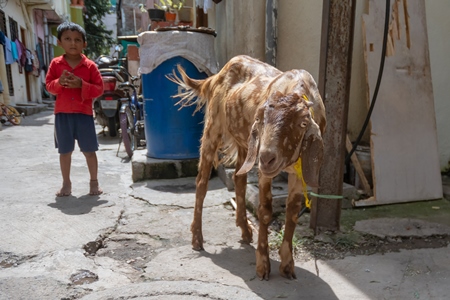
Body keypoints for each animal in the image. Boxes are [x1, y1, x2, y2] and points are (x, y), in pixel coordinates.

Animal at [171, 55, 326, 280]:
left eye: (303, 124)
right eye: (260, 121)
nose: (267, 157)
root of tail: (218, 75)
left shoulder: (298, 173)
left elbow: (292, 212)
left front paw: (287, 265)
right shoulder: (263, 171)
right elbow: (265, 211)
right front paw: (262, 265)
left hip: (245, 144)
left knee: (239, 179)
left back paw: (244, 230)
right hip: (213, 130)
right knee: (201, 183)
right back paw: (197, 239)